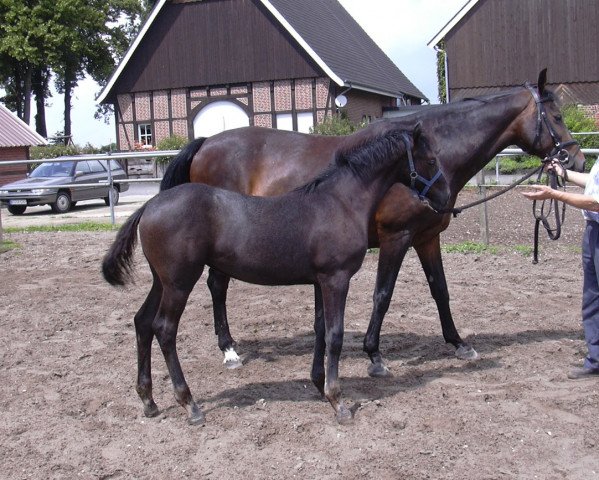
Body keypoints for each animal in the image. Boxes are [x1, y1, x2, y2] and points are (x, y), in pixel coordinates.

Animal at [102, 126, 450, 424]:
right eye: (431, 160)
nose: (445, 199)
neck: (340, 202)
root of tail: (148, 207)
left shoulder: (320, 281)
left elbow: (320, 330)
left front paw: (319, 384)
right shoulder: (336, 279)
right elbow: (335, 335)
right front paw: (338, 401)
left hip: (161, 281)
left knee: (142, 322)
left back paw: (148, 401)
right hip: (179, 283)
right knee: (164, 329)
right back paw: (190, 404)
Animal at [159, 69, 584, 376]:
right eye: (557, 116)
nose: (577, 161)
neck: (421, 161)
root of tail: (207, 142)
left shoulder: (427, 238)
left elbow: (440, 291)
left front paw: (459, 343)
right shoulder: (397, 238)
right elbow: (383, 294)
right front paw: (374, 354)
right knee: (217, 286)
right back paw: (229, 350)